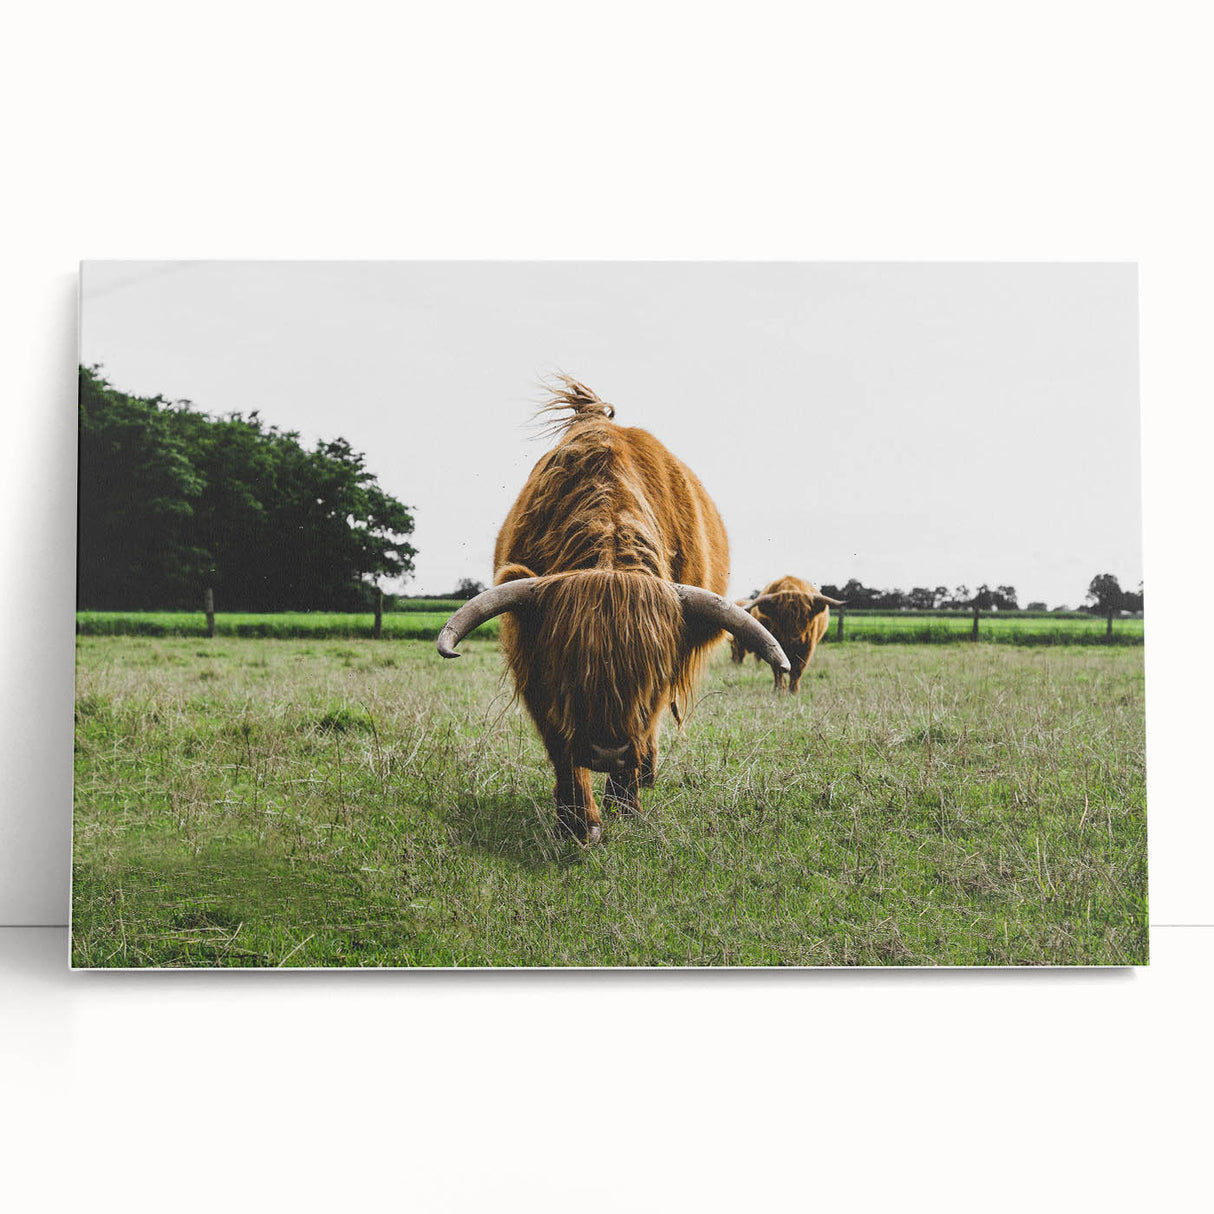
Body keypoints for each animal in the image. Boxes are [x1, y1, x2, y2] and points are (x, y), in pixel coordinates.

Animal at [437, 377, 790, 844]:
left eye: (653, 674)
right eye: (567, 667)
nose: (608, 751)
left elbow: (645, 730)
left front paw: (626, 806)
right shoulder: (534, 669)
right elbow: (562, 747)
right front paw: (577, 822)